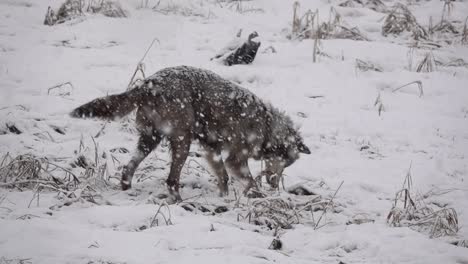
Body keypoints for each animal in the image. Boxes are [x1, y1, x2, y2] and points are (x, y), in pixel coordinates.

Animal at [70, 65, 310, 200]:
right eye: (286, 163)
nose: (275, 185)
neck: (267, 127)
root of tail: (148, 84)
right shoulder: (235, 160)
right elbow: (251, 182)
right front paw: (261, 199)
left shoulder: (212, 151)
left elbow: (223, 178)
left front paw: (223, 199)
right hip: (181, 143)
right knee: (170, 180)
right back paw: (178, 201)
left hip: (150, 140)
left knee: (128, 168)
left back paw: (127, 190)